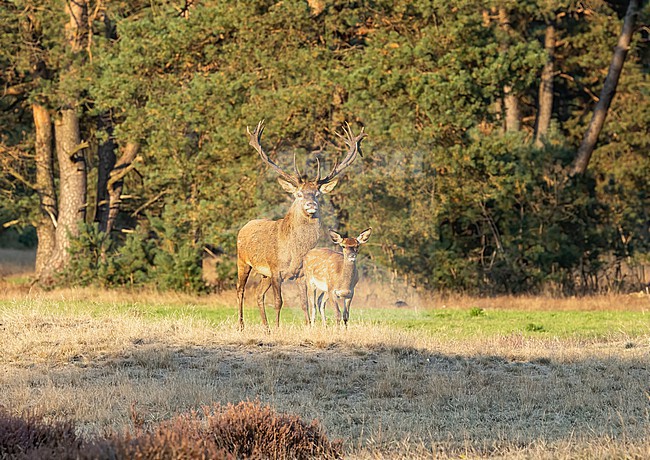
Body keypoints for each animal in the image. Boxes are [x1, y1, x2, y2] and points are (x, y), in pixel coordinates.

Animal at [237, 120, 367, 330]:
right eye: (298, 194)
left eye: (317, 194)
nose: (311, 205)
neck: (294, 252)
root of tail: (245, 226)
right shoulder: (275, 270)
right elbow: (279, 301)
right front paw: (278, 327)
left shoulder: (300, 275)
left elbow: (305, 303)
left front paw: (307, 326)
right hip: (242, 260)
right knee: (240, 291)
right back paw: (242, 325)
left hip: (264, 274)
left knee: (258, 295)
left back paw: (265, 327)